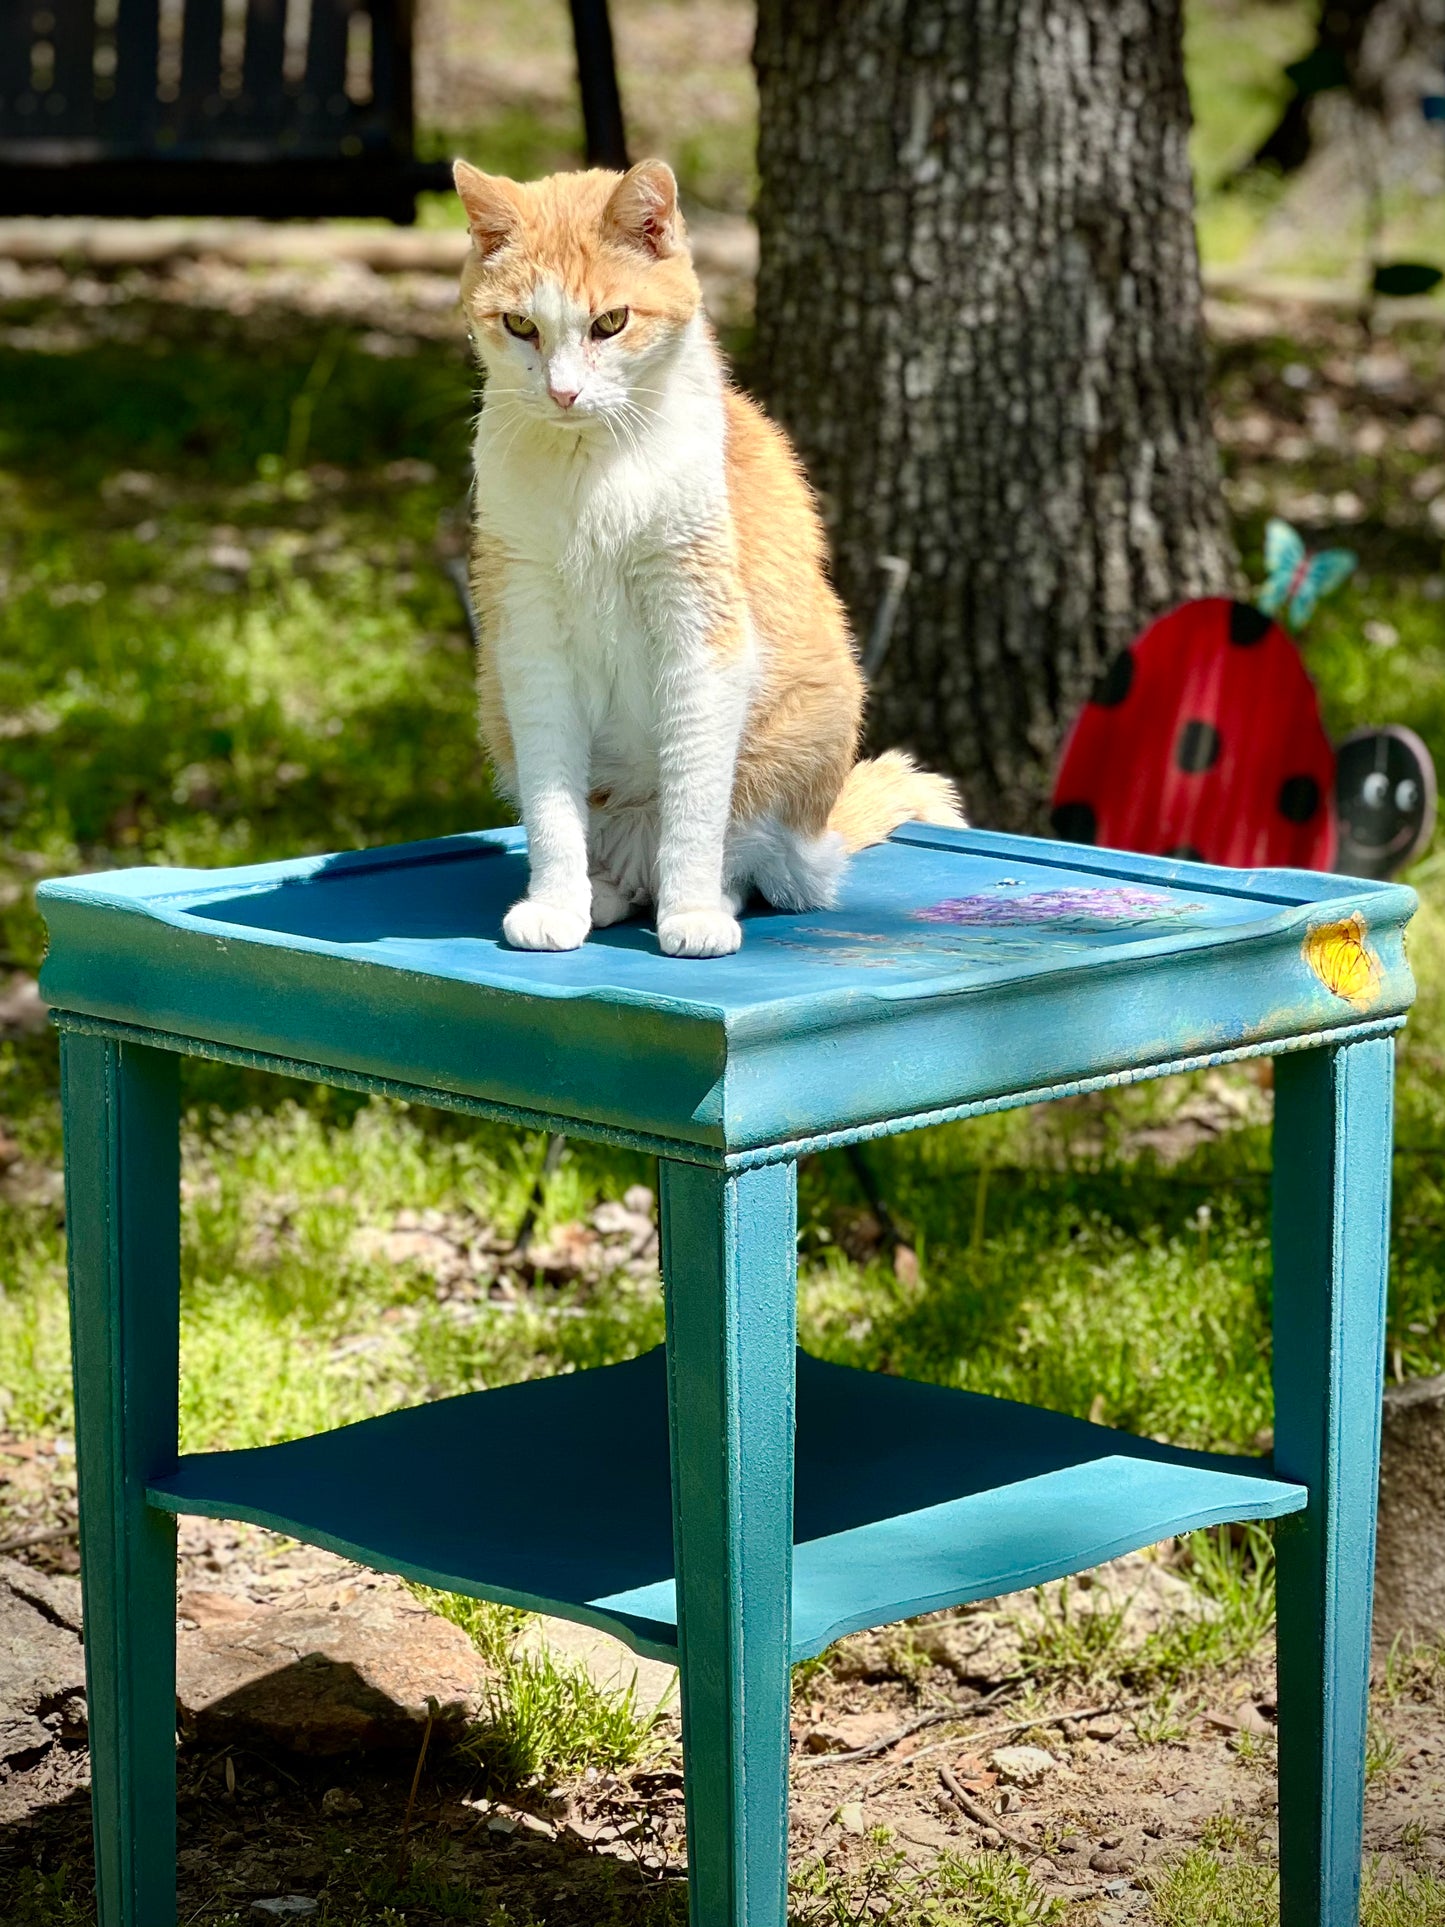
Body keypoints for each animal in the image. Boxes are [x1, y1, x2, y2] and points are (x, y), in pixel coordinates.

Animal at [458, 158, 967, 955]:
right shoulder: (529, 642)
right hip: (496, 706)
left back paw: (707, 895)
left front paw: (692, 911)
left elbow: (696, 799)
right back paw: (606, 890)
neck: (593, 468)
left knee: (747, 855)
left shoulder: (702, 633)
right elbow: (551, 806)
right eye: (520, 326)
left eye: (611, 322)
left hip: (802, 732)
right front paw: (557, 904)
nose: (564, 393)